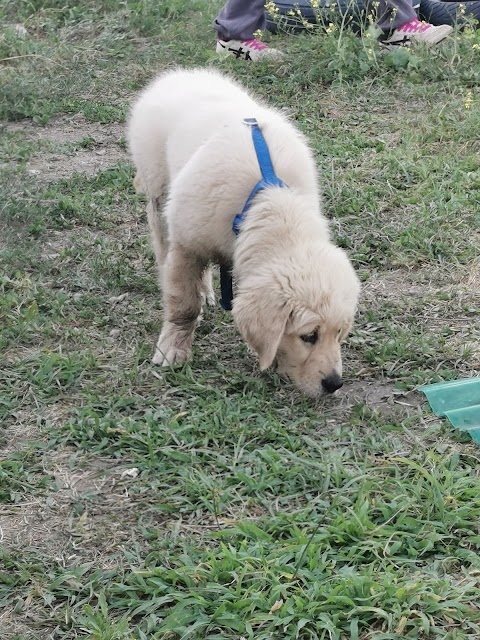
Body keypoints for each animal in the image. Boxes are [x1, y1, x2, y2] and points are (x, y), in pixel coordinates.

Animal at [127, 69, 360, 396]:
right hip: (159, 192)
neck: (267, 195)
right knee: (163, 247)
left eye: (339, 333)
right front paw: (173, 349)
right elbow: (183, 304)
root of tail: (180, 74)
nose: (334, 384)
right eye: (308, 336)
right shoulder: (187, 244)